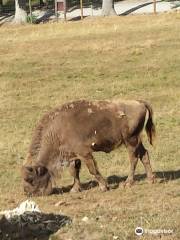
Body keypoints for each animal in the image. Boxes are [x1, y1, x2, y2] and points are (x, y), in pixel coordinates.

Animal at [21, 99, 155, 195]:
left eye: (30, 179)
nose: (28, 193)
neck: (56, 131)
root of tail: (139, 103)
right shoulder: (73, 156)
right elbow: (74, 172)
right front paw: (74, 189)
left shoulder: (84, 153)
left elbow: (92, 169)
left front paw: (104, 187)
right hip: (136, 140)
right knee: (144, 155)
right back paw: (150, 180)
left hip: (130, 141)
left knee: (133, 159)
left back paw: (128, 183)